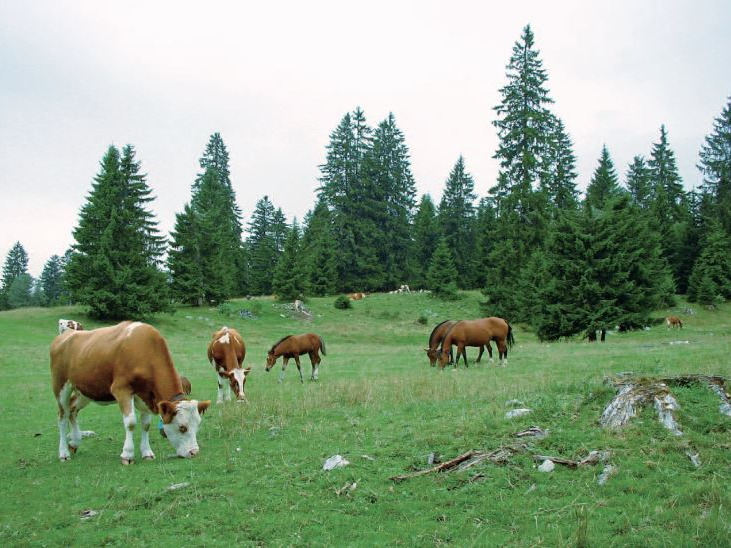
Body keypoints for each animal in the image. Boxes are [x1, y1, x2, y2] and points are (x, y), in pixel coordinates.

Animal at [50, 324, 212, 464]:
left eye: (197, 425)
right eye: (182, 427)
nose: (194, 452)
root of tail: (66, 334)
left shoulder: (145, 395)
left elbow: (146, 424)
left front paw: (147, 452)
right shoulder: (121, 389)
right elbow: (131, 422)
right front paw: (127, 454)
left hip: (85, 390)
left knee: (72, 409)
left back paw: (75, 441)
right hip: (61, 386)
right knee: (62, 415)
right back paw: (63, 453)